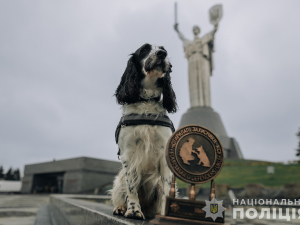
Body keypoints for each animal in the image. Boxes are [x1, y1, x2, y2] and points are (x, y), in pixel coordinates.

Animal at [110, 43, 177, 220]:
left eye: (163, 49)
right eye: (145, 50)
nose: (162, 53)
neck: (147, 101)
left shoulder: (164, 154)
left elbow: (166, 190)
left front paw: (164, 215)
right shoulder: (129, 154)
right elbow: (131, 187)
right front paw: (133, 210)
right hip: (119, 180)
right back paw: (121, 208)